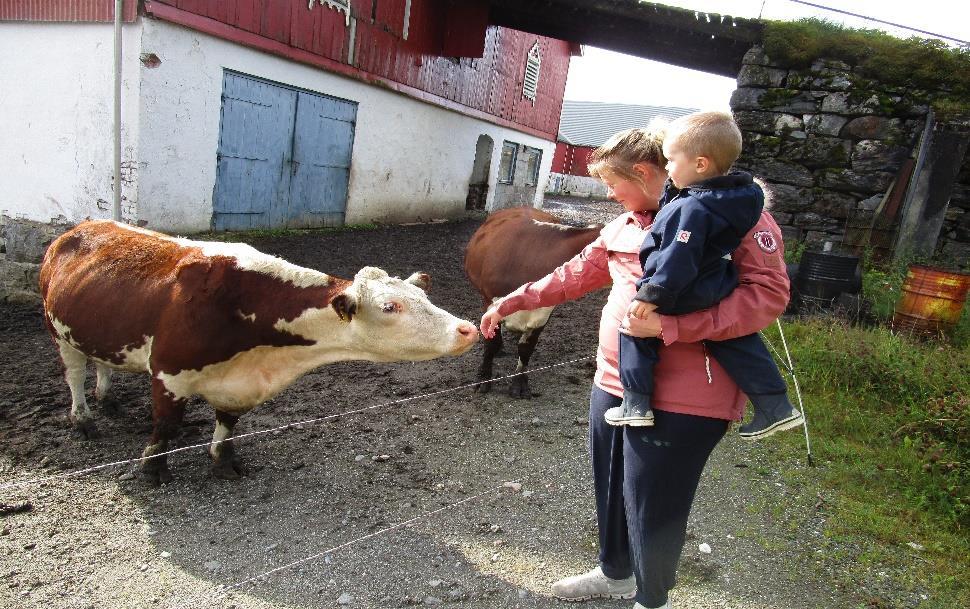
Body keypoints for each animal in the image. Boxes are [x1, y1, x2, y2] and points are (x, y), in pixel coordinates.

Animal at [39, 221, 478, 482]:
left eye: (424, 296)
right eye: (390, 307)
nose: (468, 328)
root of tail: (82, 227)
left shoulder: (240, 384)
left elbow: (228, 422)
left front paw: (224, 458)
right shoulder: (169, 371)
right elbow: (164, 425)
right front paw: (153, 468)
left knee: (101, 364)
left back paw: (107, 398)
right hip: (58, 330)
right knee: (74, 374)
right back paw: (84, 418)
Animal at [462, 209, 596, 400]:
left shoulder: (543, 313)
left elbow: (526, 348)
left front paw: (519, 384)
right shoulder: (490, 301)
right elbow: (491, 343)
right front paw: (483, 379)